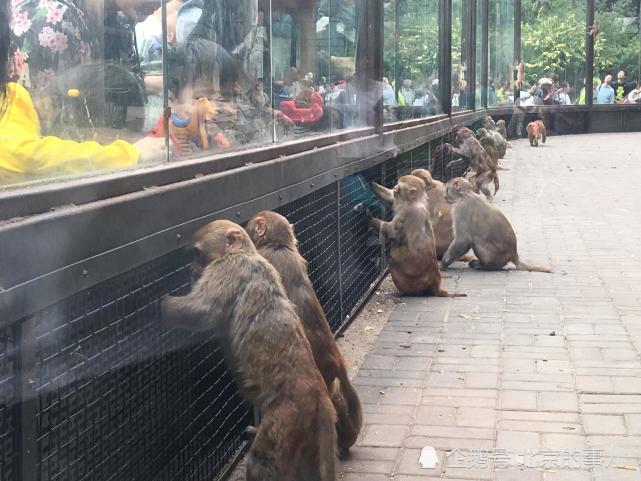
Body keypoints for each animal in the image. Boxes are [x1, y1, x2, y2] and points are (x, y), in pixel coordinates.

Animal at [160, 220, 338, 480]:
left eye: (197, 254)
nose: (192, 270)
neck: (247, 253)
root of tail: (319, 395)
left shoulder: (229, 268)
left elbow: (202, 310)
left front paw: (159, 306)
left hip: (288, 418)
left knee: (261, 461)